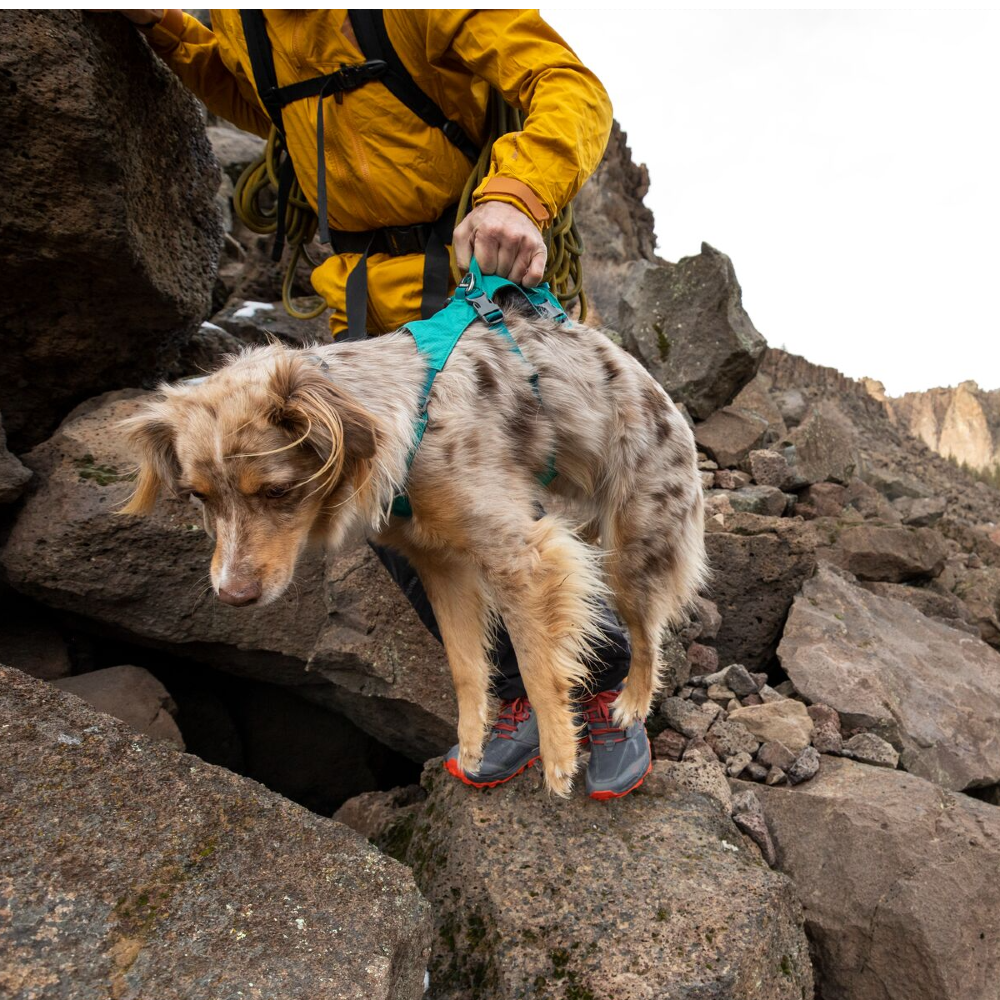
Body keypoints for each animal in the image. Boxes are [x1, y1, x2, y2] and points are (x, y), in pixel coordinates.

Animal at [121, 300, 708, 792]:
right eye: (197, 496)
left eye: (277, 490)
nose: (232, 597)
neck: (406, 430)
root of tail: (658, 392)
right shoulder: (439, 565)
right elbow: (466, 665)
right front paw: (473, 745)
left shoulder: (520, 555)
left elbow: (538, 664)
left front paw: (559, 755)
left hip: (633, 550)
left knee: (647, 636)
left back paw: (630, 704)